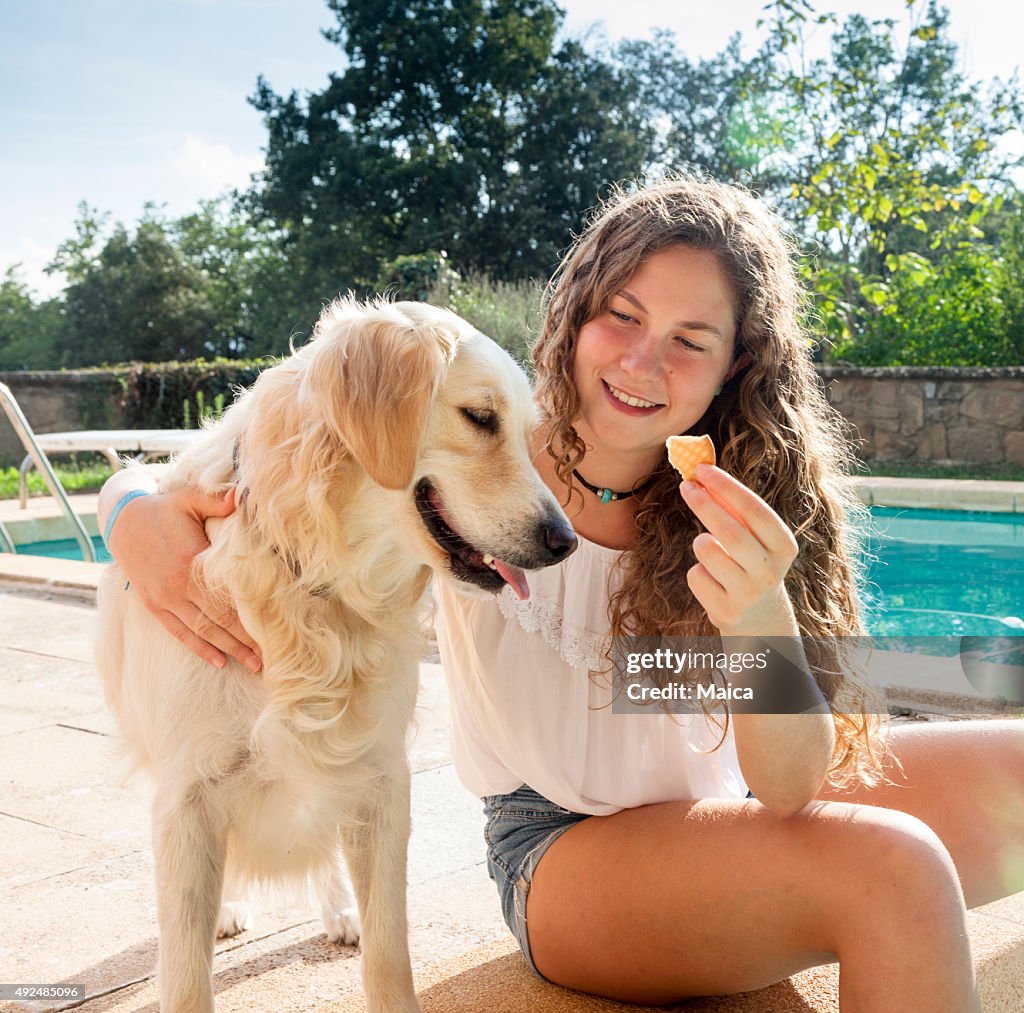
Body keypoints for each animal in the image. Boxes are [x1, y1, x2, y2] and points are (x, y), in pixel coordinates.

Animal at [95, 299, 577, 1011]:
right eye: (480, 417)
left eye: (527, 433)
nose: (565, 540)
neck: (315, 589)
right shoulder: (187, 794)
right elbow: (184, 971)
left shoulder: (379, 778)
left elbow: (389, 950)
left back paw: (339, 909)